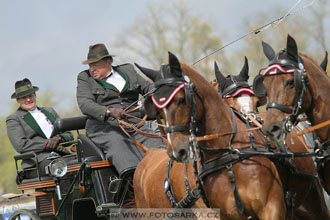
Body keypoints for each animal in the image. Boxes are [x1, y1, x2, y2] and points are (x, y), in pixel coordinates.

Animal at [136, 51, 286, 218]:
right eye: (158, 108)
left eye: (256, 102)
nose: (177, 151)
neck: (228, 156)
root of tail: (147, 152)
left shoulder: (270, 207)